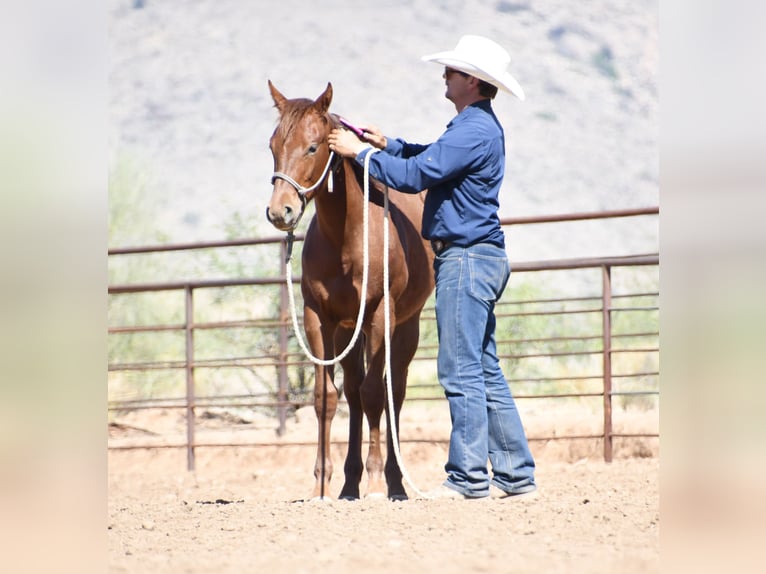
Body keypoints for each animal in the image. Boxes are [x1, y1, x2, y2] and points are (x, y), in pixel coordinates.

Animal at [265, 81, 435, 500]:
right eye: (273, 145)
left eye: (313, 147)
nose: (280, 211)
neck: (346, 236)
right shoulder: (318, 318)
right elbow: (326, 398)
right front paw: (321, 484)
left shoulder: (379, 315)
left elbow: (377, 393)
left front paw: (375, 482)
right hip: (347, 331)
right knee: (354, 392)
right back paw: (348, 484)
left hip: (404, 327)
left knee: (393, 391)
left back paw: (393, 482)